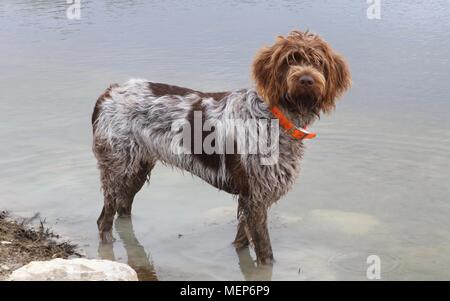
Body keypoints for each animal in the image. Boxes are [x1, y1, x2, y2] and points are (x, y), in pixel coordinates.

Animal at [92, 29, 352, 262]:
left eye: (318, 63)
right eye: (290, 60)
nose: (306, 80)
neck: (276, 116)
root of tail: (109, 91)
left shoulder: (250, 199)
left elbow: (241, 242)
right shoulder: (255, 198)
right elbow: (265, 254)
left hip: (137, 168)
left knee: (122, 211)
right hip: (117, 169)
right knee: (104, 219)